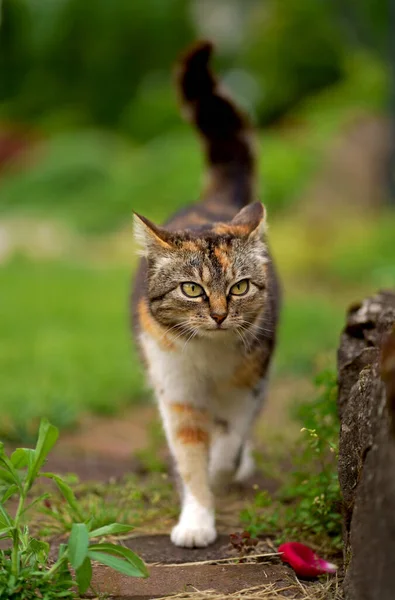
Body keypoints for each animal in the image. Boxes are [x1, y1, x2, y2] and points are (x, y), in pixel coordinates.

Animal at [133, 41, 282, 548]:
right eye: (192, 290)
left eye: (239, 287)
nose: (218, 315)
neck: (209, 355)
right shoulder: (175, 388)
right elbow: (190, 454)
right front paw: (196, 520)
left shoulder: (249, 382)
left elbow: (228, 443)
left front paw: (223, 472)